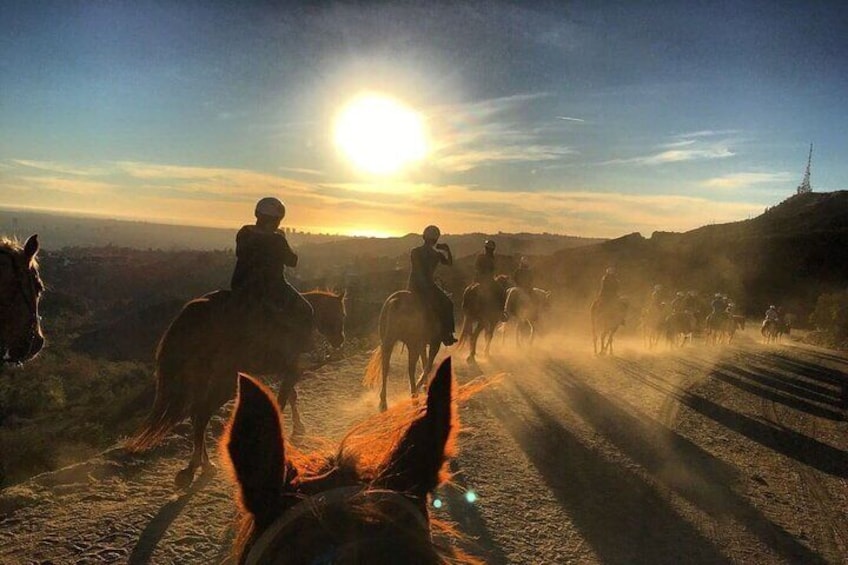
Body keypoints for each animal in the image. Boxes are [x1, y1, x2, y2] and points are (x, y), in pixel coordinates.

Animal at [126, 288, 344, 486]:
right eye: (341, 314)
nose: (340, 341)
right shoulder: (293, 369)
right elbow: (283, 399)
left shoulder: (287, 370)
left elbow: (291, 396)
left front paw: (298, 427)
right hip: (225, 383)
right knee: (202, 415)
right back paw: (193, 468)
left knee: (197, 415)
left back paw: (205, 465)